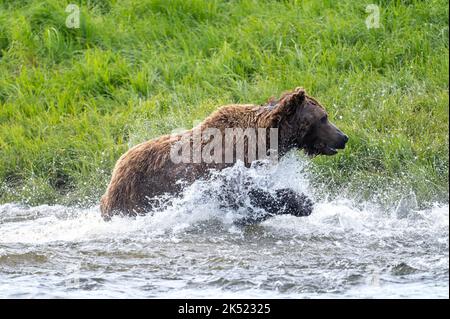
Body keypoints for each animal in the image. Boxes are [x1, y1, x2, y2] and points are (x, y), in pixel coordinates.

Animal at [100, 88, 350, 222]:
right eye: (324, 117)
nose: (344, 137)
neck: (266, 139)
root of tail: (114, 174)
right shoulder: (226, 167)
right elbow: (245, 193)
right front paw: (302, 202)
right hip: (138, 193)